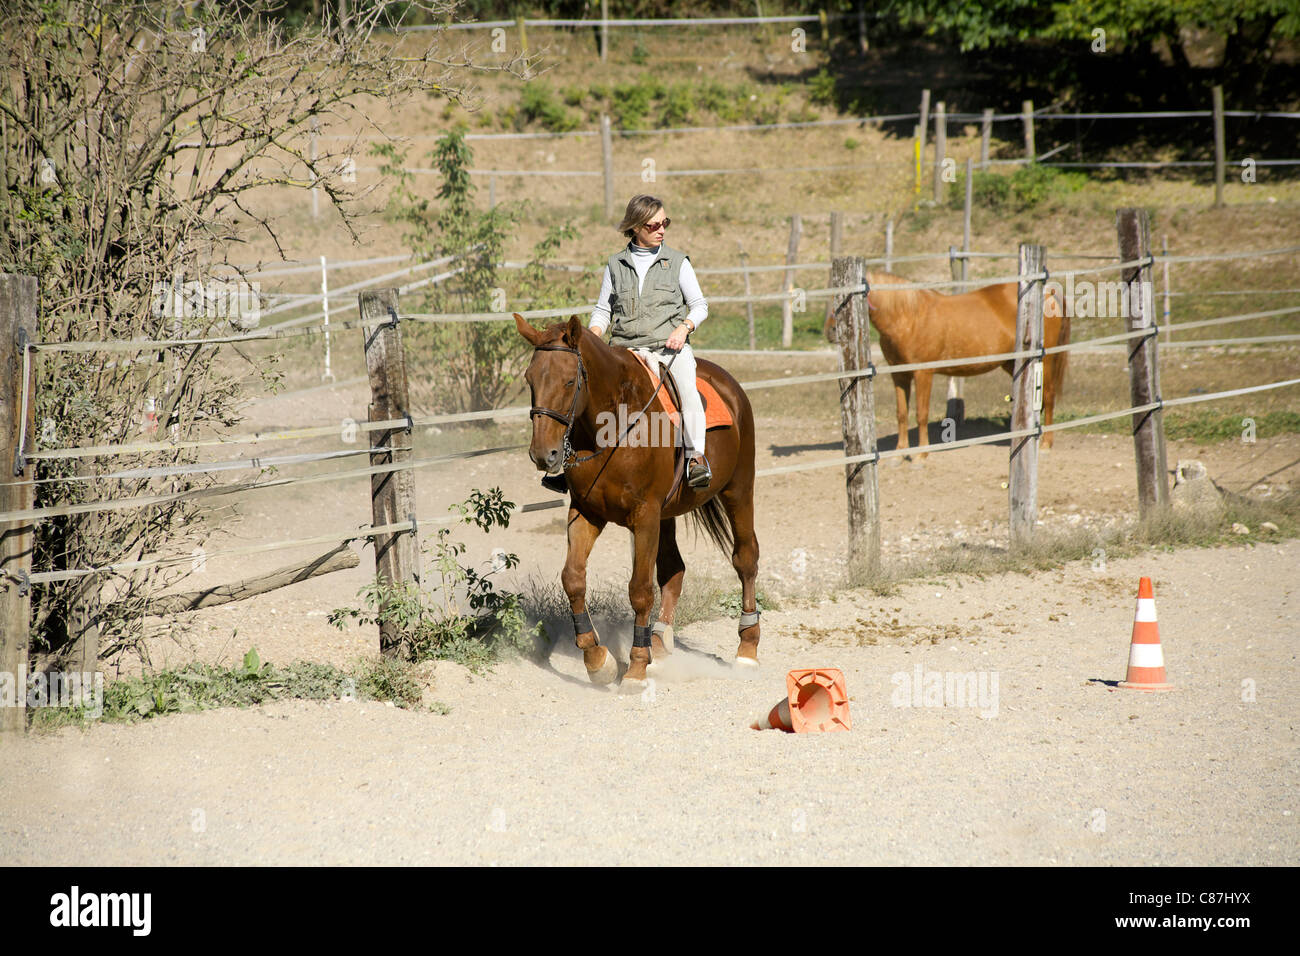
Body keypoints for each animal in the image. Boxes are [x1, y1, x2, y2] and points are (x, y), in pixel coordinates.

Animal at [514, 313, 761, 690]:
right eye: (530, 378)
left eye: (570, 381)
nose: (544, 455)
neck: (613, 425)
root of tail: (729, 384)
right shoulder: (587, 512)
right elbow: (573, 578)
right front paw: (597, 660)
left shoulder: (644, 515)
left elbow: (640, 590)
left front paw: (636, 667)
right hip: (667, 515)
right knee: (673, 570)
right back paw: (657, 644)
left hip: (738, 490)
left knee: (745, 559)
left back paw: (746, 650)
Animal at [824, 271, 1070, 459]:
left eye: (847, 298)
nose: (831, 331)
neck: (908, 316)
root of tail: (1050, 293)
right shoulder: (899, 375)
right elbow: (901, 413)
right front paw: (899, 453)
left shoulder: (923, 373)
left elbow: (921, 413)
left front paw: (920, 455)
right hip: (1012, 364)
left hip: (1045, 361)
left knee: (1048, 395)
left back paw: (1046, 444)